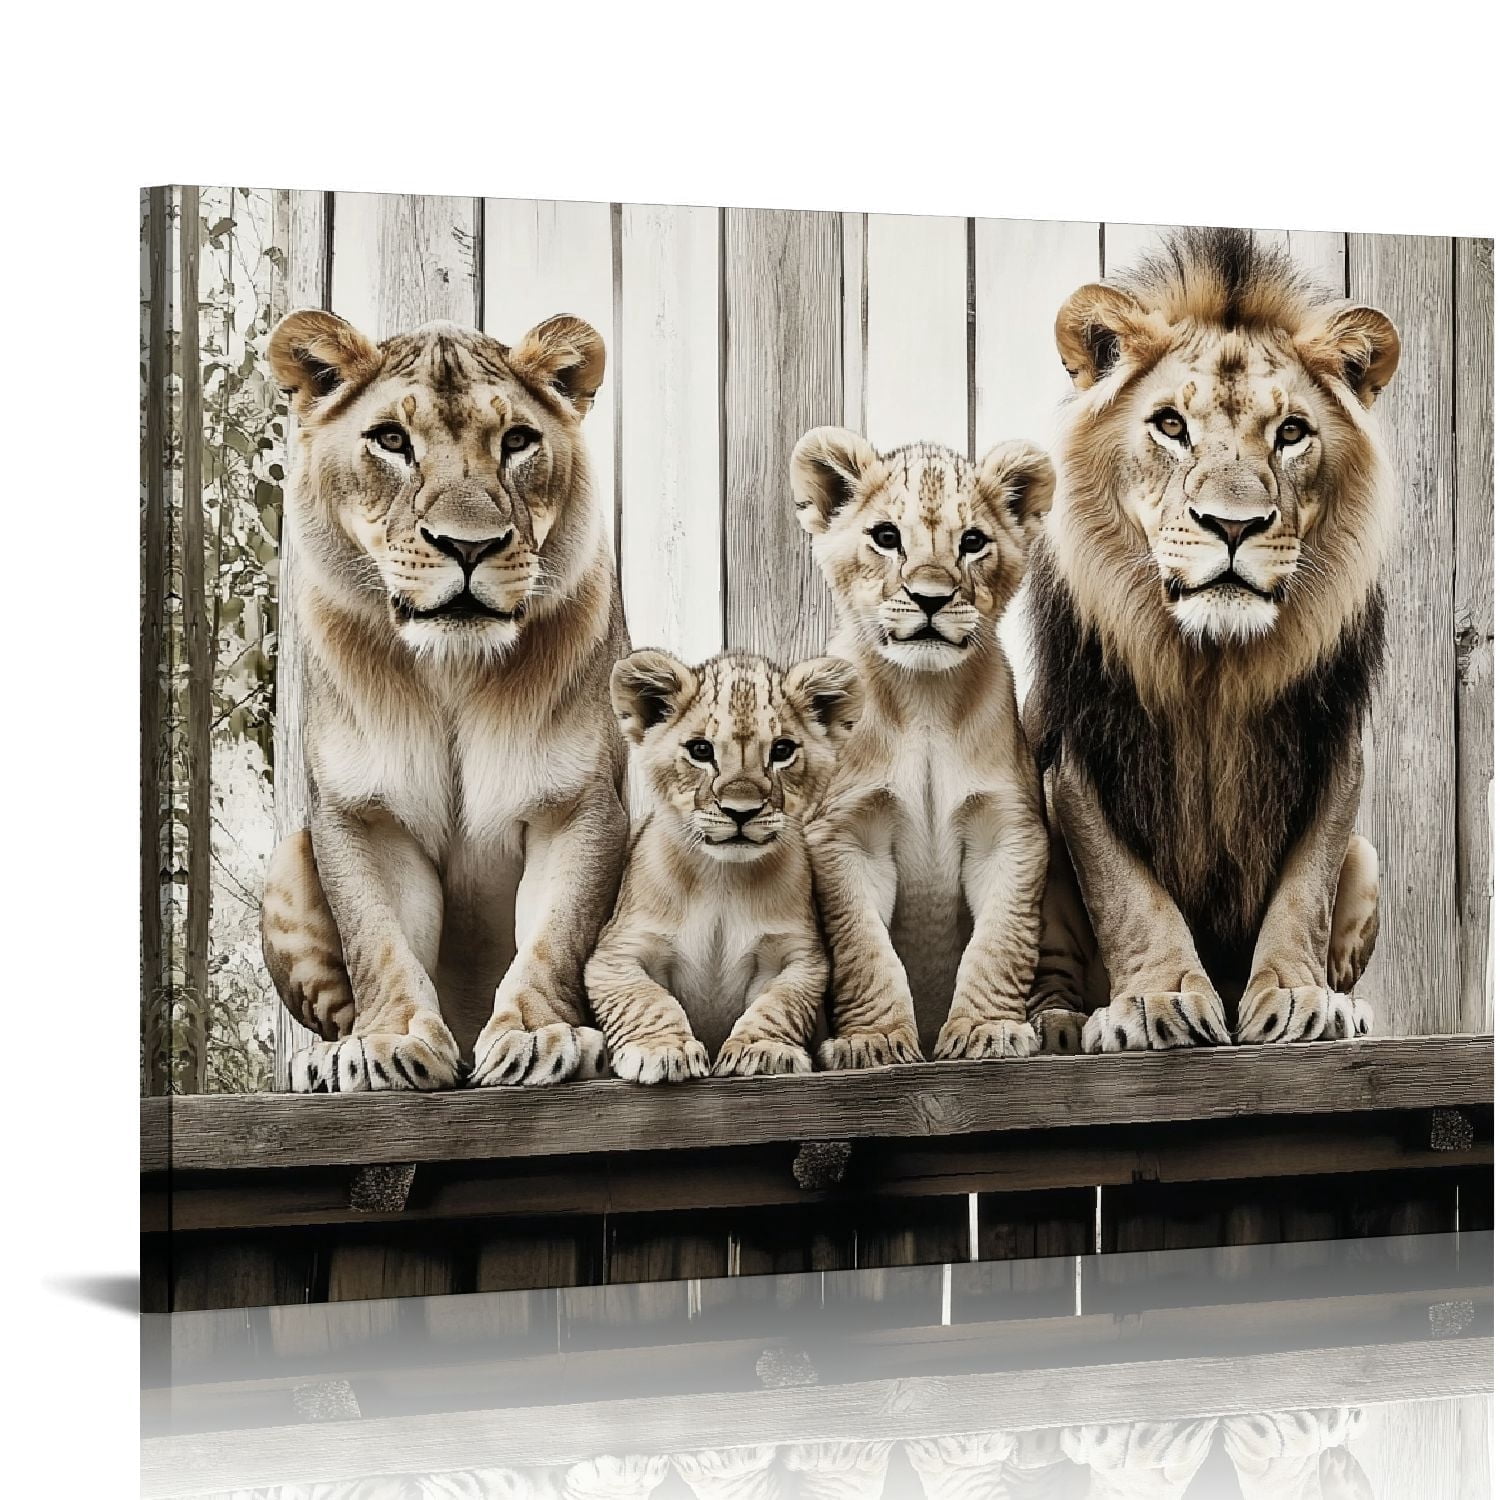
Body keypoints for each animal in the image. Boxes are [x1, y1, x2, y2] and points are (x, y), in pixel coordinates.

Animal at [259, 309, 628, 1090]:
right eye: (392, 441)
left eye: (516, 441)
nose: (469, 546)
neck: (452, 671)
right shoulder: (366, 815)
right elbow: (379, 940)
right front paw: (388, 1041)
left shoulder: (577, 806)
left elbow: (554, 934)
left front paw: (538, 1035)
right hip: (287, 858)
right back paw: (325, 1058)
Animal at [585, 649, 861, 1082]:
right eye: (700, 750)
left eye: (782, 750)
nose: (741, 811)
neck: (722, 877)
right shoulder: (615, 955)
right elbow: (646, 1000)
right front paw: (663, 1049)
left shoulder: (799, 957)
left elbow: (779, 1005)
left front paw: (762, 1050)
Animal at [789, 432, 1057, 1066]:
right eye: (887, 537)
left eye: (973, 542)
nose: (930, 598)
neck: (926, 699)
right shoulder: (845, 833)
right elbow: (864, 948)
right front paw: (873, 1041)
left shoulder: (1009, 830)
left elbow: (1000, 941)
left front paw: (987, 1030)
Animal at [1025, 227, 1396, 1052]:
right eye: (1171, 425)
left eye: (1291, 433)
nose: (1232, 526)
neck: (1213, 663)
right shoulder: (1081, 743)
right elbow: (1127, 891)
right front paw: (1156, 999)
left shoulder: (1333, 743)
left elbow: (1307, 883)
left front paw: (1299, 995)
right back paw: (1061, 1023)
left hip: (1372, 859)